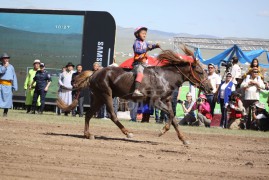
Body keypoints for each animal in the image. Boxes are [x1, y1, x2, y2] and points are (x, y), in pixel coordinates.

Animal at [58, 46, 211, 145]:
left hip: (98, 98)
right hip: (106, 94)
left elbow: (173, 118)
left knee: (89, 114)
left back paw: (88, 134)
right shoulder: (155, 101)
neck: (165, 77)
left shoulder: (166, 101)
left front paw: (184, 139)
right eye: (200, 71)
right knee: (112, 115)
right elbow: (172, 115)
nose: (210, 87)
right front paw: (162, 131)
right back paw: (127, 133)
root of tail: (95, 73)